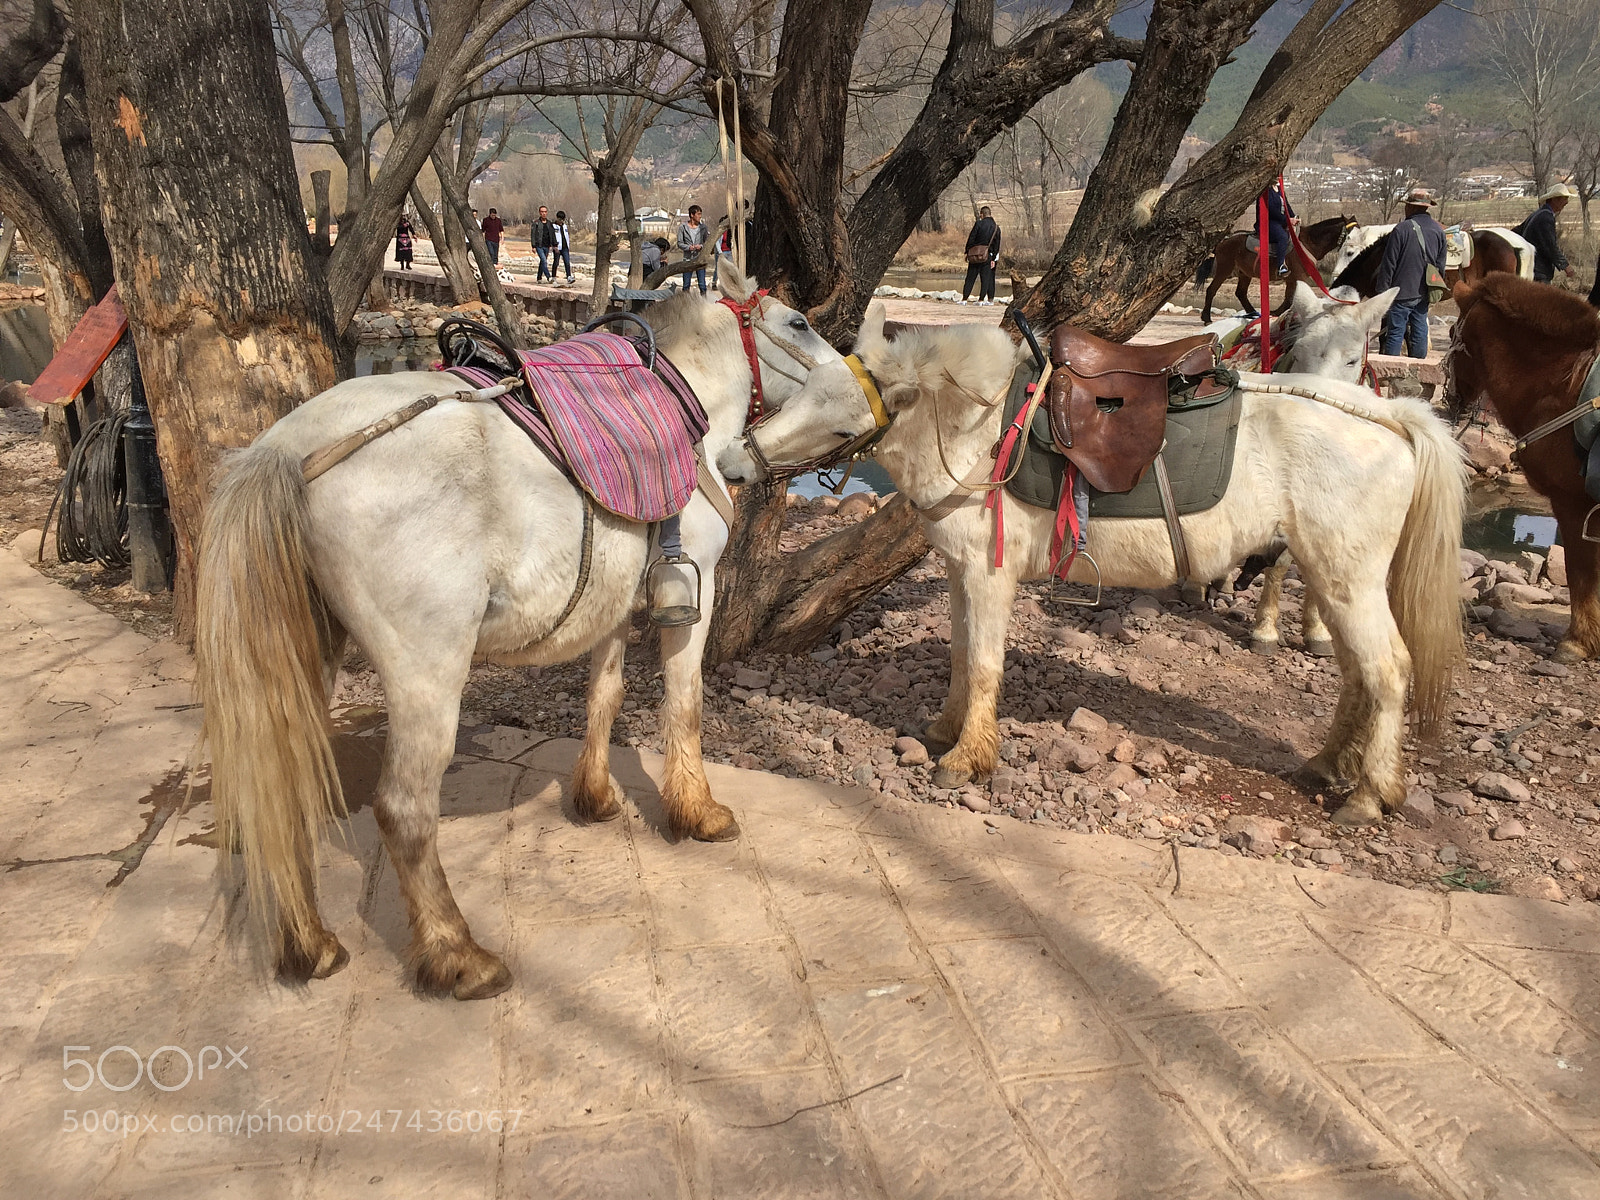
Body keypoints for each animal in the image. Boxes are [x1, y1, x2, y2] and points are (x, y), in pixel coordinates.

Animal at [194, 264, 885, 998]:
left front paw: (596, 797)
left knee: (283, 784)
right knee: (403, 809)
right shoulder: (688, 593)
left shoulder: (616, 603)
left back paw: (311, 944)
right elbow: (685, 705)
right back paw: (459, 956)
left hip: (309, 652)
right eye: (800, 324)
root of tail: (288, 448)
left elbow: (604, 697)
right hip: (427, 667)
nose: (867, 390)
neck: (686, 409)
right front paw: (698, 812)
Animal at [739, 303, 1466, 828]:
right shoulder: (960, 572)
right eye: (800, 391)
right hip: (1331, 578)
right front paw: (944, 730)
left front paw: (966, 760)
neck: (978, 432)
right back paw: (1325, 765)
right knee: (1357, 674)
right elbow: (961, 655)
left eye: (841, 423)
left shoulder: (989, 575)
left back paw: (1369, 795)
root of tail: (1390, 416)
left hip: (1348, 580)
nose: (743, 458)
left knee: (1387, 671)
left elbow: (983, 663)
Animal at [1196, 214, 1355, 325]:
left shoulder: (1292, 278)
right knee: (1212, 290)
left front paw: (1276, 313)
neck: (1309, 243)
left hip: (1244, 273)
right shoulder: (1298, 276)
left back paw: (1253, 313)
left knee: (1240, 293)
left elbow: (1288, 298)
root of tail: (1223, 240)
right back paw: (1207, 317)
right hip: (1224, 269)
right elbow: (1291, 298)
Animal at [1447, 272, 1600, 663]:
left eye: (1454, 330)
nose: (1451, 398)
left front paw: (1577, 641)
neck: (1562, 385)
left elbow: (1581, 573)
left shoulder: (1573, 504)